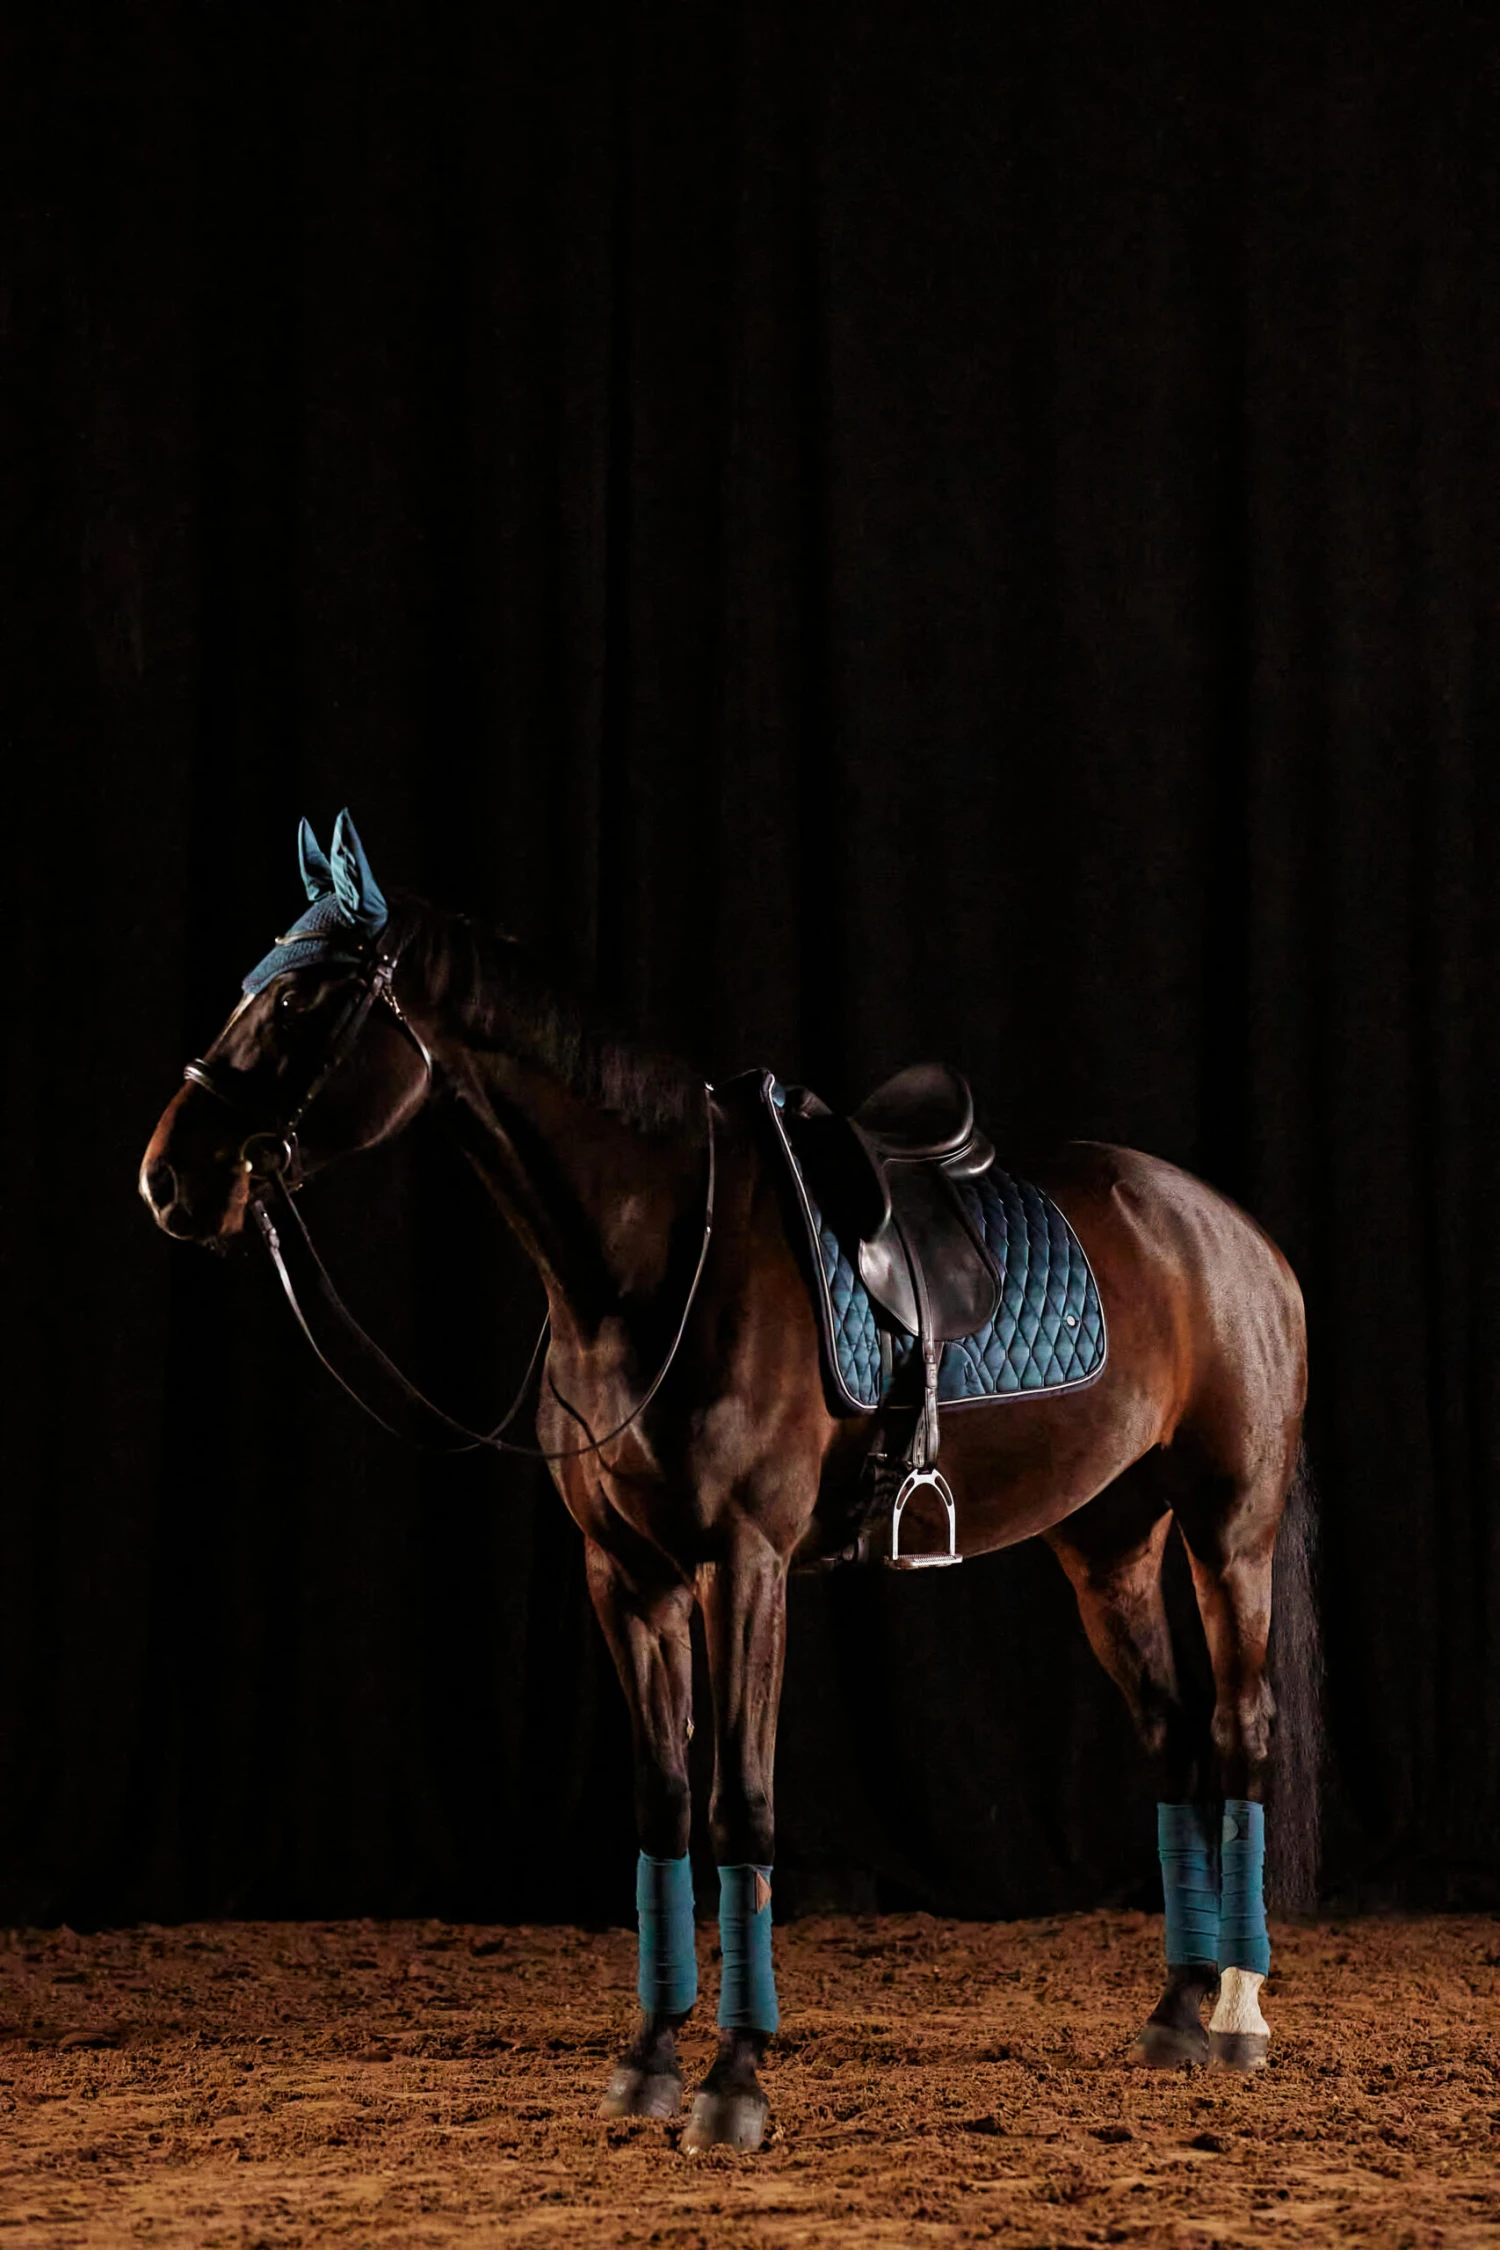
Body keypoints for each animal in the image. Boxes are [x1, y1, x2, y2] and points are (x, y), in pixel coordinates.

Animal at [140, 811, 1318, 2153]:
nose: (170, 1180)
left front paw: (734, 2080)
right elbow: (662, 1808)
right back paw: (1176, 2012)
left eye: (303, 1001)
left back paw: (1238, 2015)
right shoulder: (627, 1577)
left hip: (1228, 1529)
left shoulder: (742, 1569)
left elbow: (736, 1808)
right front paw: (651, 2059)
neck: (648, 1263)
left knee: (1237, 1731)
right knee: (1172, 1736)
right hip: (1109, 1543)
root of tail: (1233, 1234)